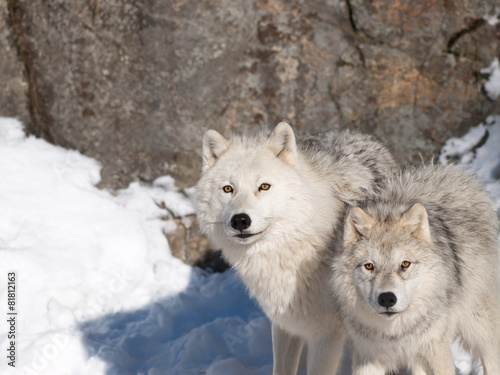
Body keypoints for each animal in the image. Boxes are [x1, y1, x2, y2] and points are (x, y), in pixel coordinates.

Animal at [195, 122, 394, 374]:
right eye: (228, 189)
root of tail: (353, 132)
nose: (240, 220)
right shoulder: (284, 323)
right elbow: (281, 368)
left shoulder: (327, 334)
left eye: (264, 186)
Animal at [332, 165, 500, 375]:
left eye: (405, 264)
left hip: (479, 329)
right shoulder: (368, 357)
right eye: (369, 266)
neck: (396, 333)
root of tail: (453, 173)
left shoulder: (436, 348)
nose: (387, 299)